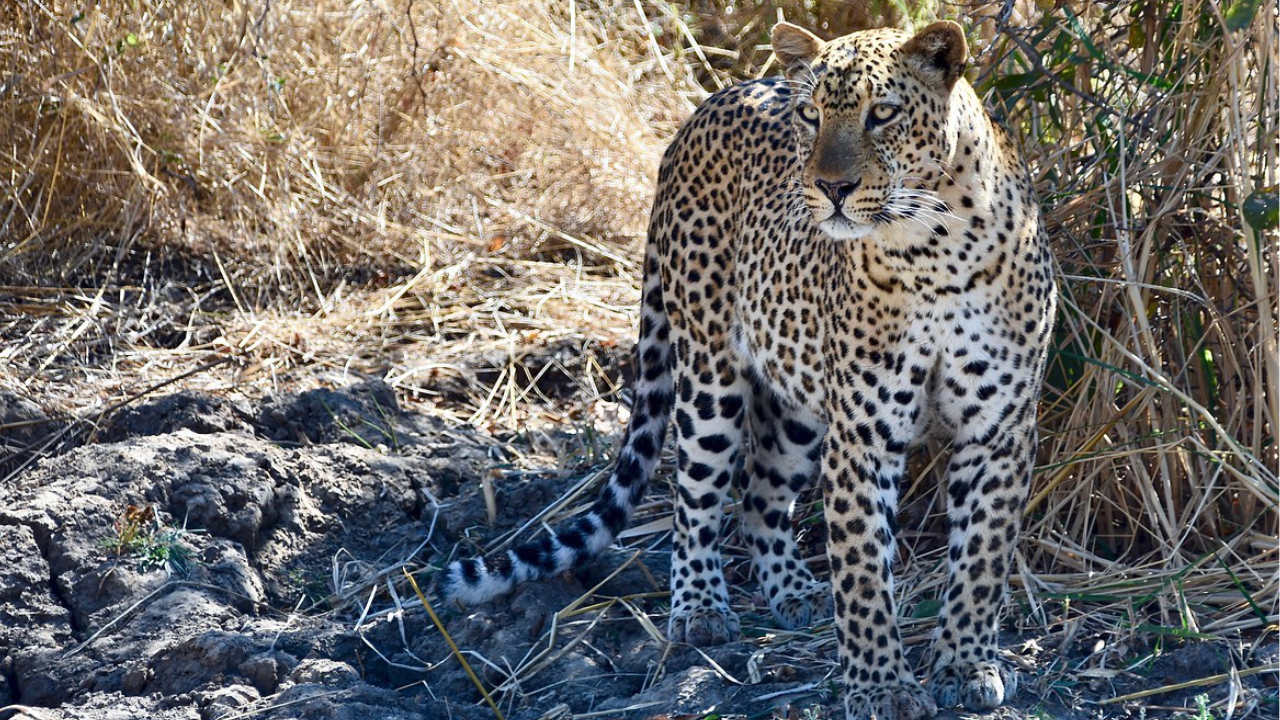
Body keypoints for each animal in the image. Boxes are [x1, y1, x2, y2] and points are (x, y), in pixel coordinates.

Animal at [439, 20, 1055, 720]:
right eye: (811, 116)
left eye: (882, 114)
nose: (832, 189)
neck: (934, 252)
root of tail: (709, 104)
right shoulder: (863, 436)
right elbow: (864, 572)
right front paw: (881, 686)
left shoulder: (999, 431)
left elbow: (981, 559)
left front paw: (966, 666)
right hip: (709, 375)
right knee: (698, 498)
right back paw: (700, 608)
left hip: (794, 401)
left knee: (760, 496)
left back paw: (794, 591)